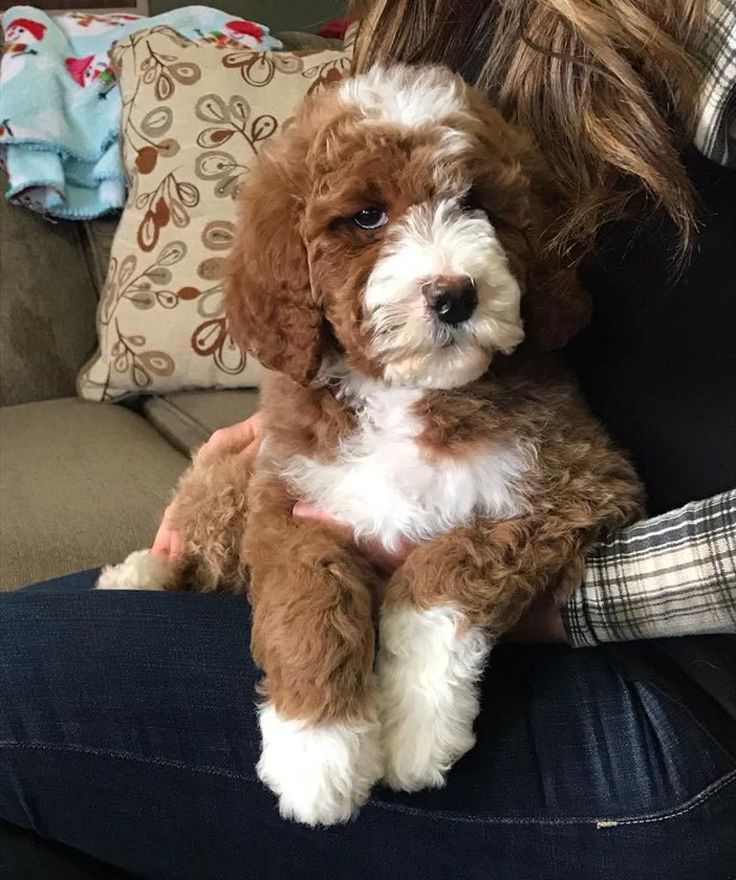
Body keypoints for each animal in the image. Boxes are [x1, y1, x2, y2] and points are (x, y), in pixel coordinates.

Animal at [99, 67, 644, 824]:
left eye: (476, 204)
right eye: (366, 217)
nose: (455, 296)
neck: (406, 394)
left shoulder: (578, 487)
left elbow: (441, 570)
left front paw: (416, 730)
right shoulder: (288, 498)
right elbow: (309, 601)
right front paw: (317, 752)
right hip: (234, 478)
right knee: (198, 539)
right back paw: (135, 575)